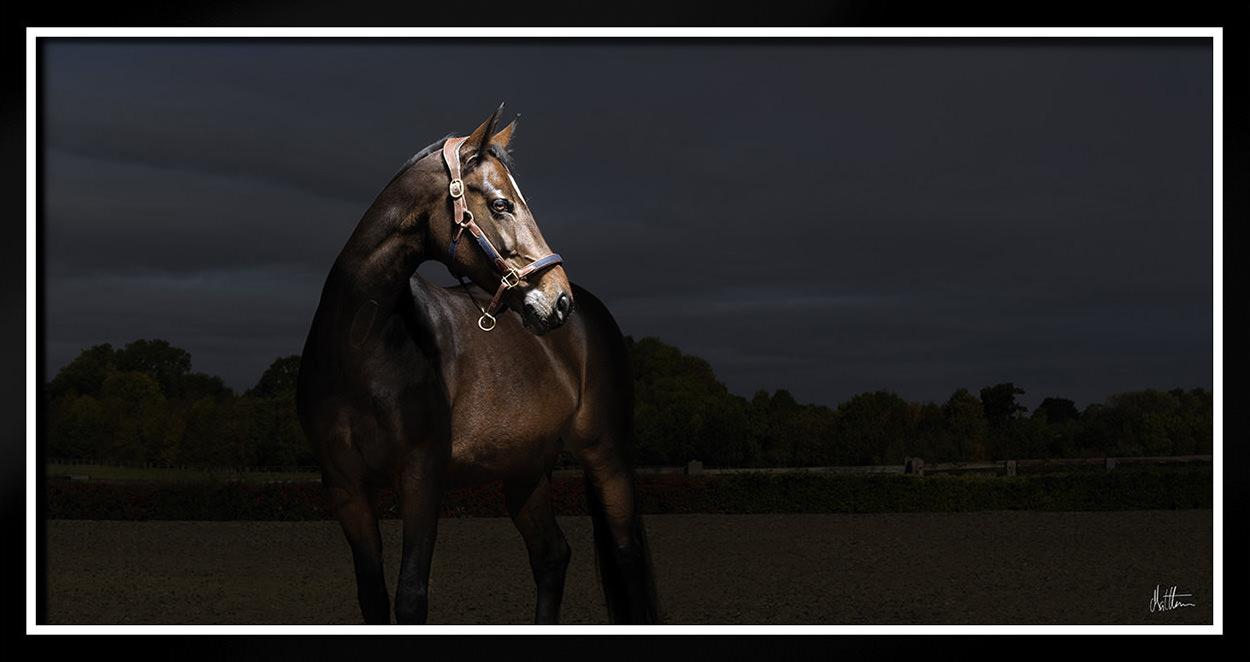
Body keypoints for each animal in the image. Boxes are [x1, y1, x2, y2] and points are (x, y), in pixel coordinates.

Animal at [296, 106, 659, 625]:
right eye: (502, 204)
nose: (559, 300)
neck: (359, 348)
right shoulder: (344, 488)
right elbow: (373, 597)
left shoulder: (422, 478)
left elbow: (411, 597)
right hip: (525, 471)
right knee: (551, 556)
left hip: (606, 456)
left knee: (626, 557)